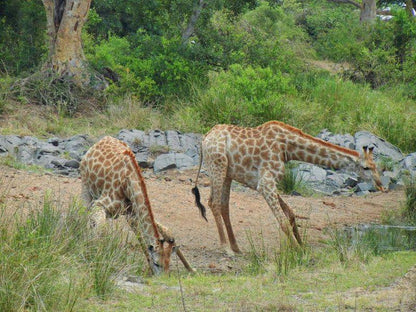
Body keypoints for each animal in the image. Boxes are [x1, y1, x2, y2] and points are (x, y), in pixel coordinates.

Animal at [80, 135, 194, 274]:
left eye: (169, 265)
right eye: (157, 263)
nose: (163, 277)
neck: (128, 183)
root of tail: (101, 140)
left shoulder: (132, 214)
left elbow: (161, 234)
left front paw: (192, 269)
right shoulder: (99, 204)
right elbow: (100, 229)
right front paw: (92, 257)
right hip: (86, 187)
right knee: (85, 215)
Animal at [192, 120, 386, 255]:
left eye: (376, 166)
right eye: (366, 168)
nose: (381, 186)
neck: (287, 148)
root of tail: (204, 138)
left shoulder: (265, 182)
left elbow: (291, 214)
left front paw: (302, 245)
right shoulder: (265, 183)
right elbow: (283, 220)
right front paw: (297, 252)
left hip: (227, 173)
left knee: (224, 205)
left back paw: (236, 247)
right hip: (217, 166)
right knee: (214, 203)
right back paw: (226, 248)